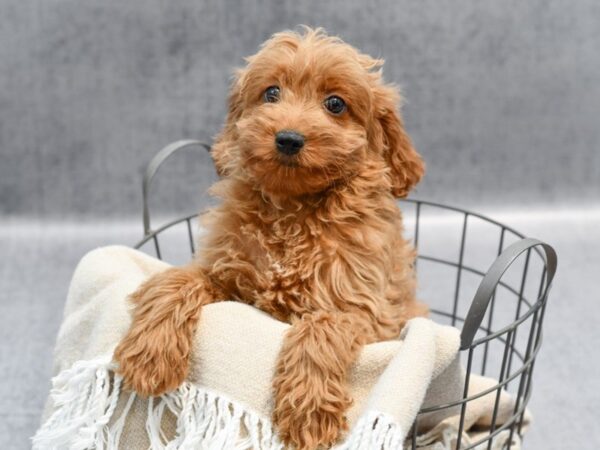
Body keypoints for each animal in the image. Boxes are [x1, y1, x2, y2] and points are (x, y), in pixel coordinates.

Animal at [116, 28, 426, 450]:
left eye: (335, 104)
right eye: (272, 93)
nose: (289, 138)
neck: (291, 213)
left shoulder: (368, 313)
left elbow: (320, 329)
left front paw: (309, 412)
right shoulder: (225, 273)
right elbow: (176, 281)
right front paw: (149, 354)